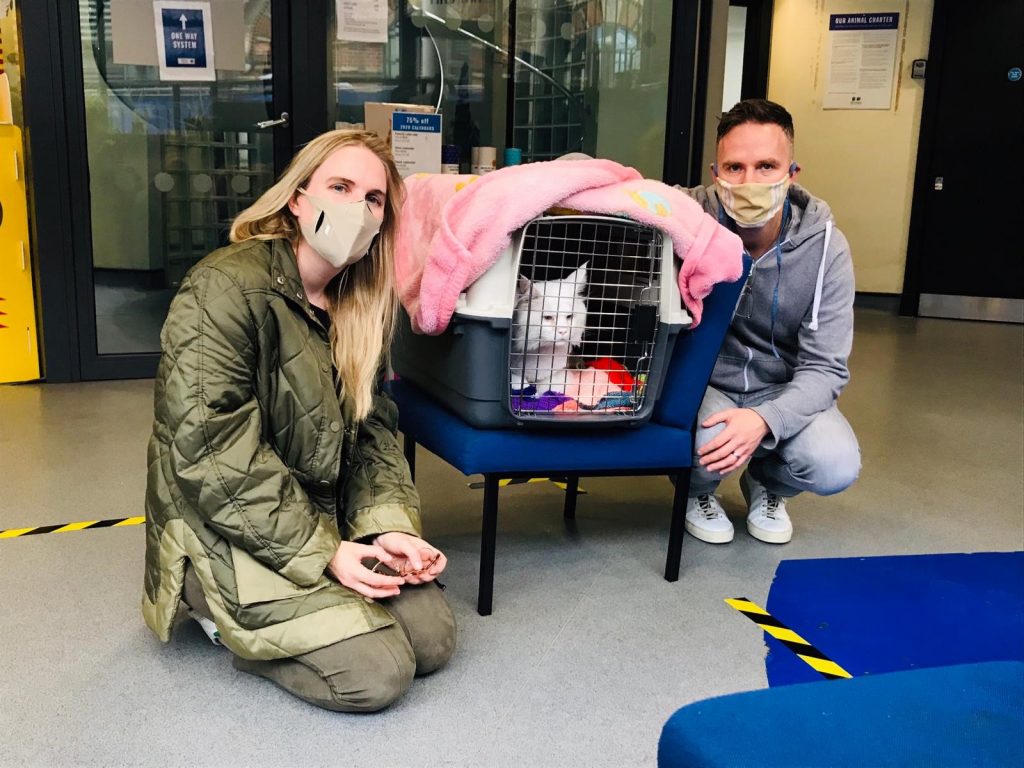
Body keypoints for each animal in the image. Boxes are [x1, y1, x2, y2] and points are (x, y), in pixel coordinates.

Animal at [509, 266, 589, 397]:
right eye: (548, 317)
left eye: (569, 317)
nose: (563, 331)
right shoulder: (514, 373)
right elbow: (521, 385)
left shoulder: (558, 374)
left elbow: (549, 388)